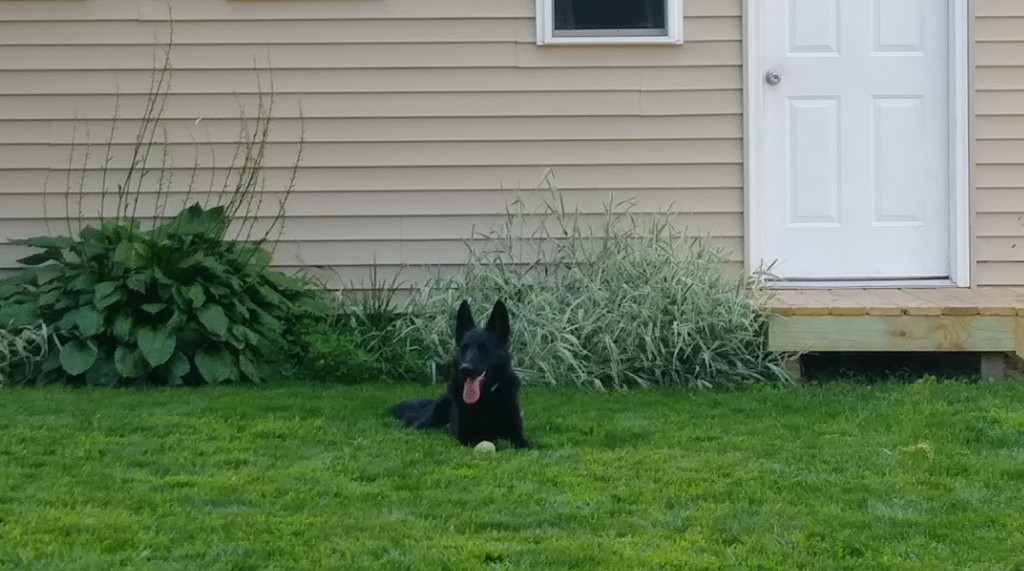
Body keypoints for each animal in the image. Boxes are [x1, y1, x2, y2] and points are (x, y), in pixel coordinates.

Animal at [387, 300, 532, 452]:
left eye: (484, 349)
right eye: (464, 348)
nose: (465, 369)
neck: (486, 397)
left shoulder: (518, 435)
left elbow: (524, 443)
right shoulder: (466, 436)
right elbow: (487, 439)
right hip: (429, 420)